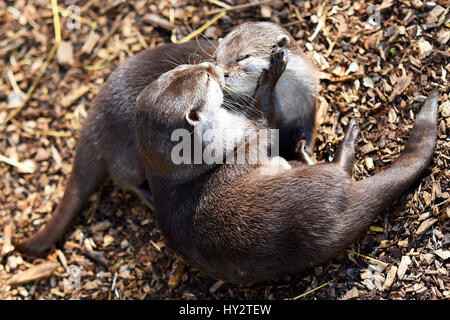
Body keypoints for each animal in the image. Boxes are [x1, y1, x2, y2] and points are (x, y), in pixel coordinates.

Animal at [135, 54, 438, 282]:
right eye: (208, 80)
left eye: (184, 69)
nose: (213, 67)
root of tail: (332, 225)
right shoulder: (245, 133)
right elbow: (267, 121)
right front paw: (270, 75)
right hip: (312, 182)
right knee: (340, 171)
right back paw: (347, 138)